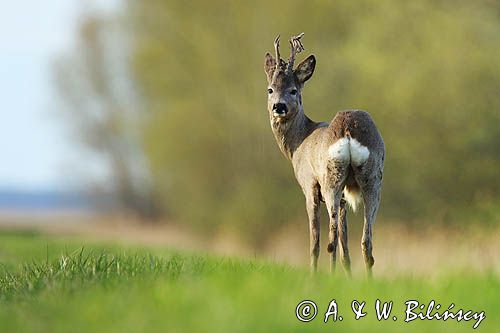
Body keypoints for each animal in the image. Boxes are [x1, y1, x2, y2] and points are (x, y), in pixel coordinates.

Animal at [264, 33, 384, 274]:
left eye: (293, 90)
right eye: (270, 89)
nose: (279, 107)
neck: (298, 143)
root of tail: (347, 129)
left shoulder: (309, 186)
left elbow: (315, 240)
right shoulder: (346, 200)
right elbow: (346, 244)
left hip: (331, 179)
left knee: (330, 238)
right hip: (372, 178)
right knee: (365, 240)